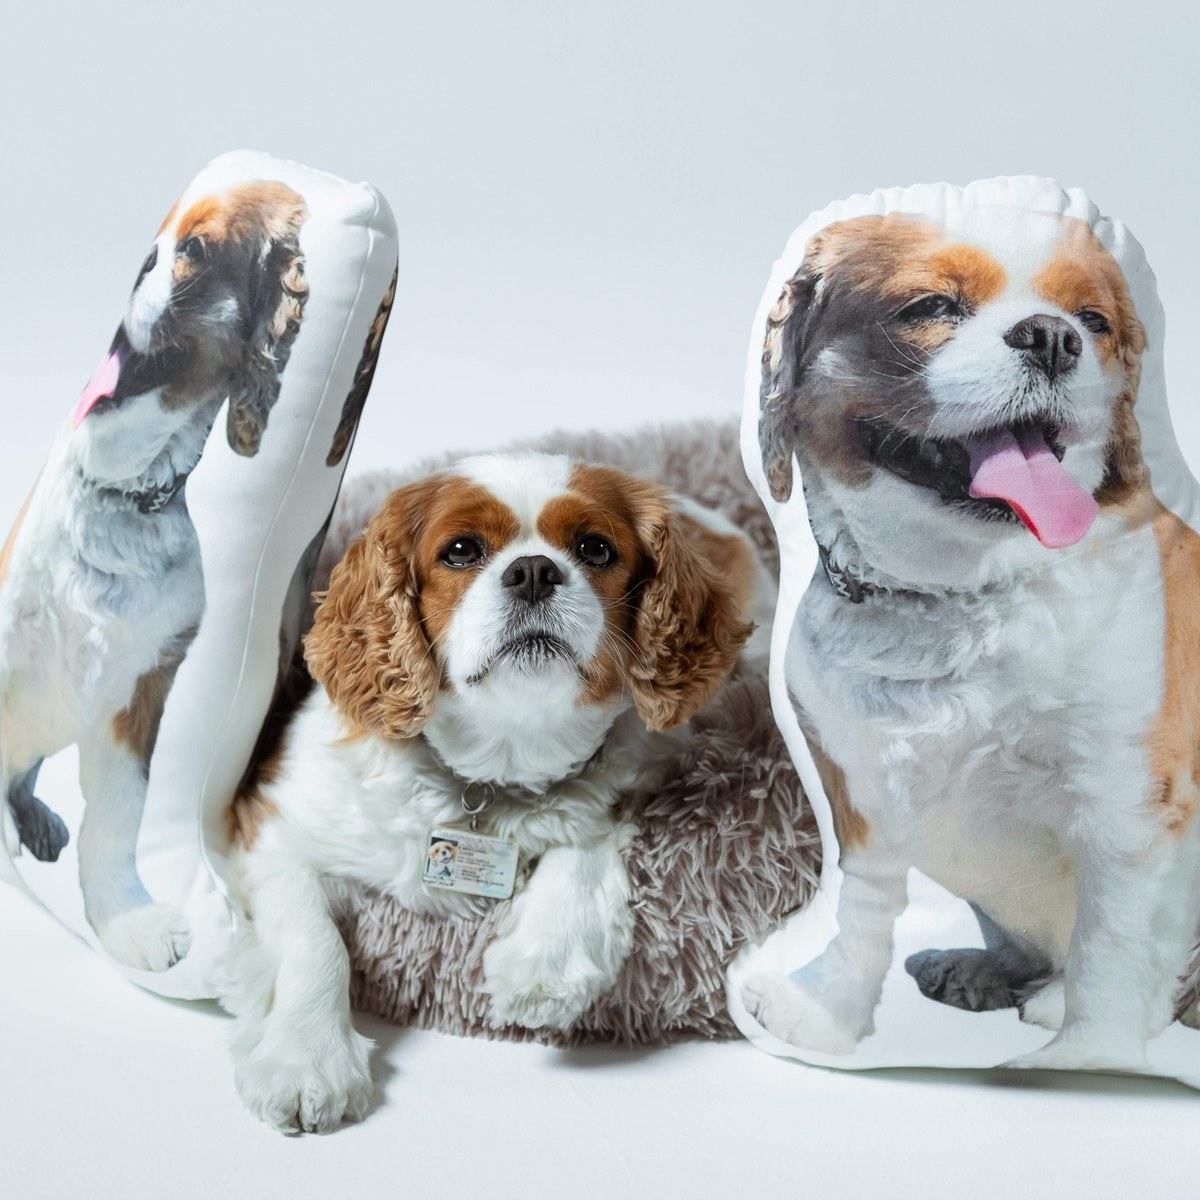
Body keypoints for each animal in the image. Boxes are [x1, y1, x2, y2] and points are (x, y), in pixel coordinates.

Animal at [0, 180, 307, 974]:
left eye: (193, 250)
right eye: (158, 244)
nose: (145, 261)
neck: (122, 494)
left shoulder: (142, 689)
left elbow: (118, 815)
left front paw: (126, 924)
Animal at [222, 451, 763, 1132]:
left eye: (595, 548)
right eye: (460, 550)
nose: (533, 571)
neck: (498, 767)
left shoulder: (652, 765)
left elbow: (587, 833)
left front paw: (547, 962)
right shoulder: (273, 833)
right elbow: (314, 940)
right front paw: (307, 1058)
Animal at [739, 211, 1200, 1075]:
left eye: (1094, 322)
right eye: (931, 306)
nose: (1053, 337)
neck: (957, 593)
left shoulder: (1127, 805)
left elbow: (1111, 949)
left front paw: (1085, 1056)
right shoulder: (862, 792)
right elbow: (862, 913)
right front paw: (829, 1019)